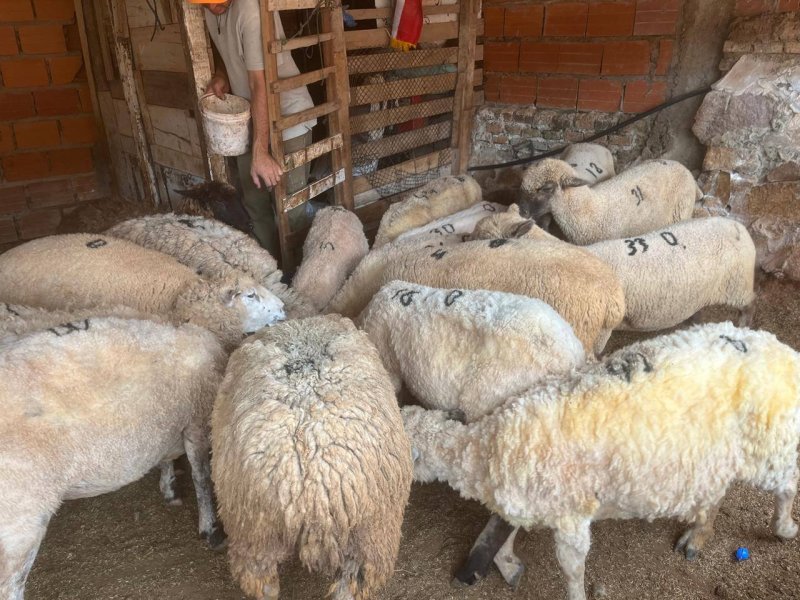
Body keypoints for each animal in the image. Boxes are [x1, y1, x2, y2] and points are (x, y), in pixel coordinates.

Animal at [0, 317, 228, 599]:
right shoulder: (197, 419)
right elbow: (202, 479)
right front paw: (210, 528)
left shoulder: (168, 426)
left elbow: (166, 459)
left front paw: (169, 488)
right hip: (22, 516)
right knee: (10, 584)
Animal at [403, 322, 800, 600]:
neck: (484, 449)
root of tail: (783, 350)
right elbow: (499, 535)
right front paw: (505, 564)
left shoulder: (570, 518)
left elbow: (572, 570)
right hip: (715, 453)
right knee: (717, 488)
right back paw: (698, 535)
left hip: (770, 439)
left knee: (787, 484)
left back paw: (784, 527)